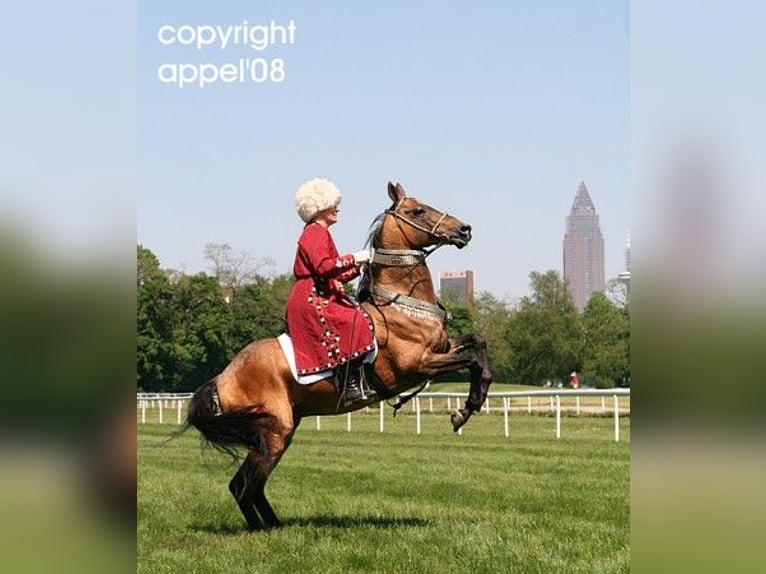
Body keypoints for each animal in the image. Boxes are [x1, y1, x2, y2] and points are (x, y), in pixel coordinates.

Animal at [189, 182, 496, 532]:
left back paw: (276, 526)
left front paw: (470, 404)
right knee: (242, 486)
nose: (464, 229)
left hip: (277, 434)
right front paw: (464, 410)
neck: (400, 305)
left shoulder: (442, 349)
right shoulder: (420, 365)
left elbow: (479, 345)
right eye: (418, 211)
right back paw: (262, 530)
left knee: (251, 485)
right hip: (275, 432)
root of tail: (222, 378)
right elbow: (473, 361)